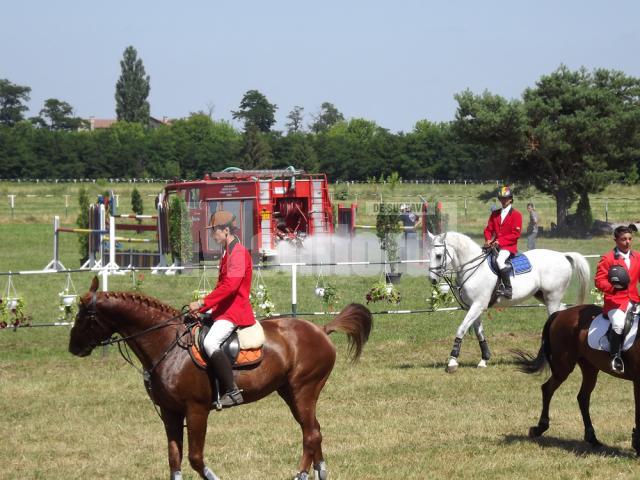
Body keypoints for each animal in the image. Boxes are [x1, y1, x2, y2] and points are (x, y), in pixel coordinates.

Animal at [68, 278, 372, 480]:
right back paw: (319, 472)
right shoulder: (170, 412)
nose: (73, 348)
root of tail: (321, 329)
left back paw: (300, 474)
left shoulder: (196, 410)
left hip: (303, 389)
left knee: (310, 434)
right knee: (314, 431)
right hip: (290, 392)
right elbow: (174, 458)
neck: (165, 343)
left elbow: (195, 458)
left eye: (84, 317)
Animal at [428, 231, 592, 374]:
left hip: (553, 298)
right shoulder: (473, 307)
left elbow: (461, 329)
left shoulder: (478, 305)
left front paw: (452, 362)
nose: (433, 280)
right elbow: (479, 333)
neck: (473, 269)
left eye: (438, 255)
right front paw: (484, 360)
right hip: (545, 297)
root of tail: (562, 255)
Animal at [512, 304, 640, 454]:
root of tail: (561, 313)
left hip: (589, 367)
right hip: (563, 367)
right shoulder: (637, 381)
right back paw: (539, 429)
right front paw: (637, 444)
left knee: (583, 397)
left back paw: (592, 438)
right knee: (547, 389)